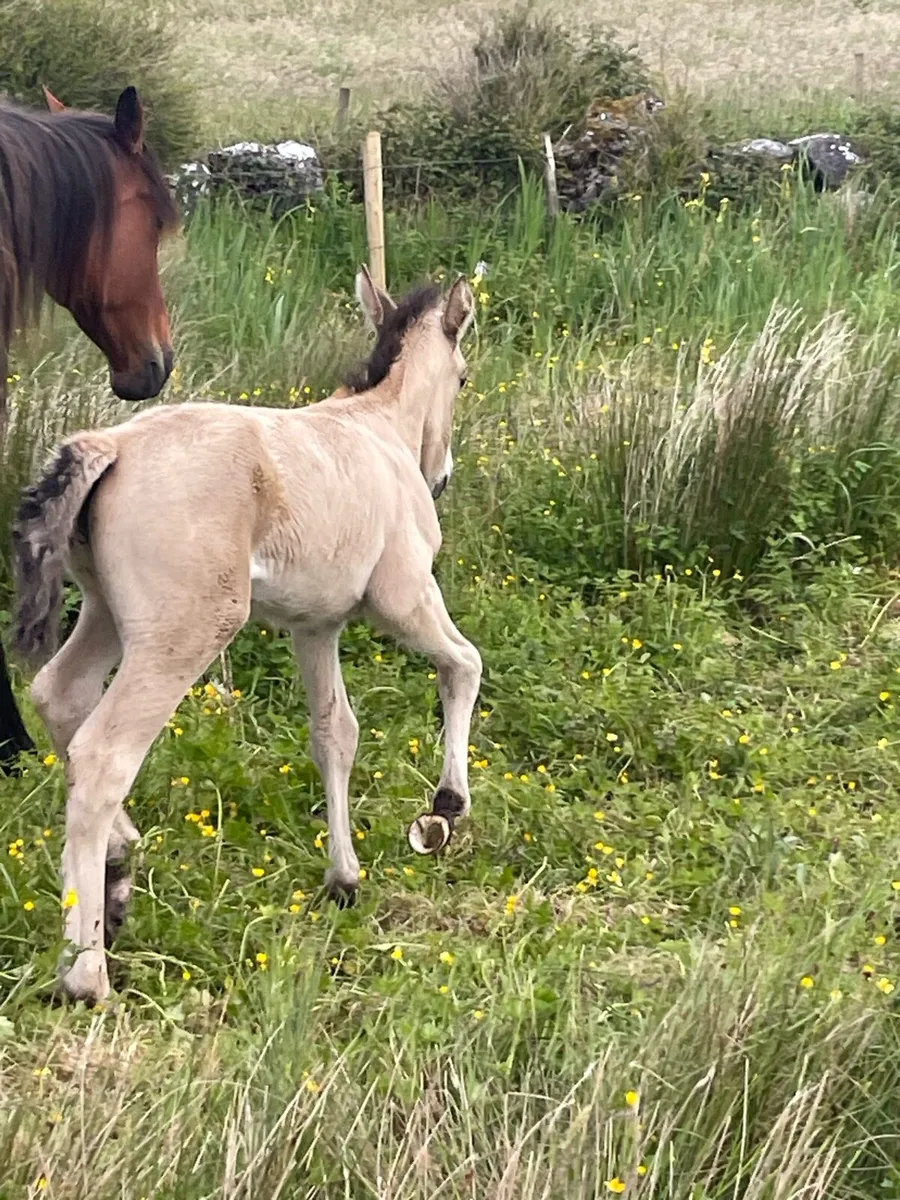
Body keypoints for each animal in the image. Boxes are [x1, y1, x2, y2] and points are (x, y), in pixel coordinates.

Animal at [11, 266, 481, 1004]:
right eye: (462, 377)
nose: (441, 476)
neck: (378, 430)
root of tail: (110, 446)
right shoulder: (403, 598)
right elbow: (463, 663)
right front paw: (445, 808)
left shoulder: (316, 627)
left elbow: (335, 734)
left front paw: (343, 878)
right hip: (186, 631)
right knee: (104, 754)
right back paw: (86, 971)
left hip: (107, 615)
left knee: (58, 695)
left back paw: (117, 874)